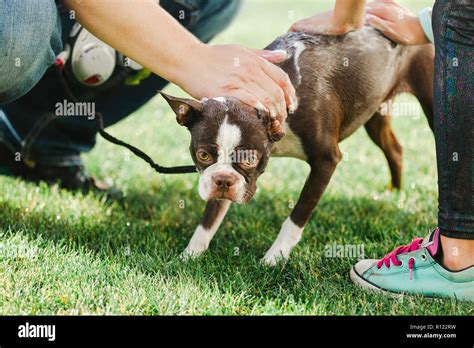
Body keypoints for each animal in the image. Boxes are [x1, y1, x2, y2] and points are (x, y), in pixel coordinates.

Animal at [162, 27, 434, 266]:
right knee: (394, 149)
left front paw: (274, 258)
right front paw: (189, 256)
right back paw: (394, 194)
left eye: (250, 159)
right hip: (375, 111)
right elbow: (210, 217)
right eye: (203, 155)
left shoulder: (326, 160)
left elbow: (297, 215)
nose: (223, 182)